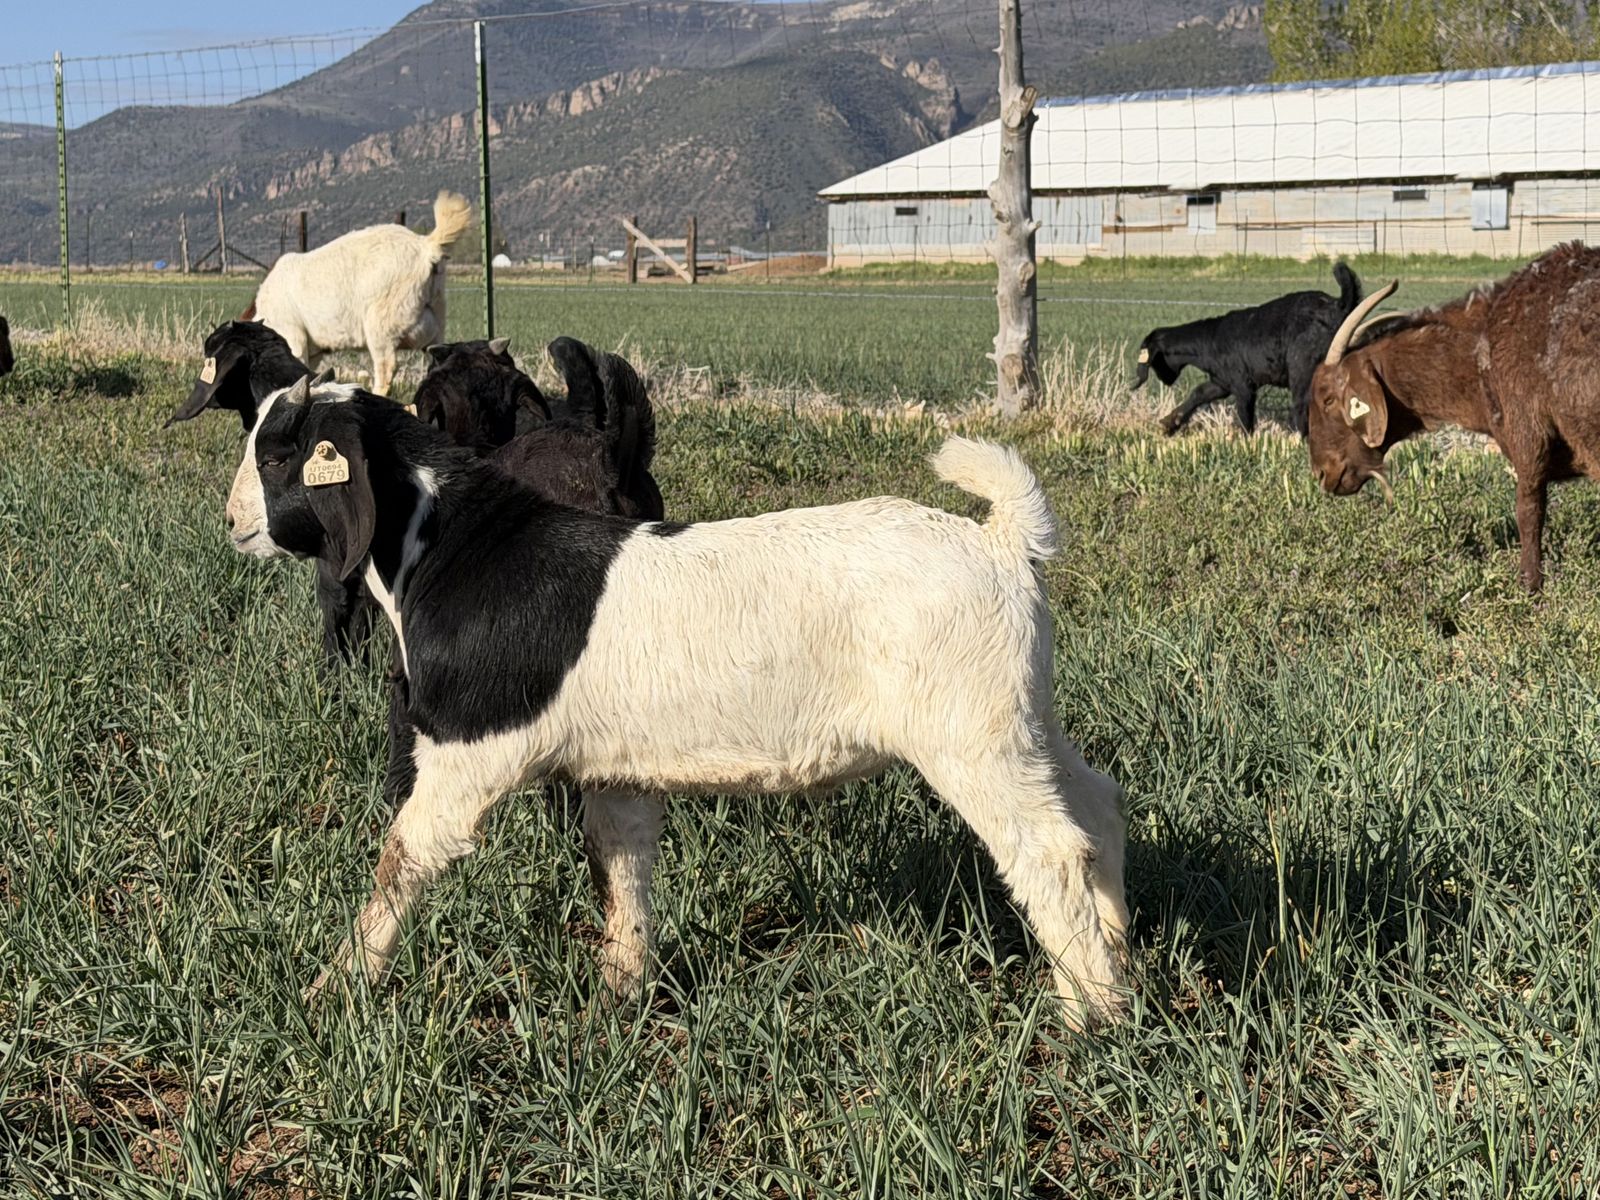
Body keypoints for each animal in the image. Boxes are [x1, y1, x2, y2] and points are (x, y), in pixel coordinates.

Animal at [223, 378, 1130, 1028]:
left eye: (279, 456)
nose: (232, 522)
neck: (453, 552)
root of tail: (1002, 541)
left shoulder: (464, 756)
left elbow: (403, 860)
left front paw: (333, 989)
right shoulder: (616, 767)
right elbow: (620, 865)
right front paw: (619, 997)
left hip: (971, 737)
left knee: (1049, 850)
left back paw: (1087, 1014)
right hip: (1023, 716)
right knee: (1098, 808)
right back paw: (1120, 962)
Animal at [1133, 262, 1364, 435]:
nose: (1165, 381)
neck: (1210, 339)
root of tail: (1337, 306)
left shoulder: (1243, 386)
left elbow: (1245, 421)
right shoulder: (1222, 382)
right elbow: (1199, 393)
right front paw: (1171, 422)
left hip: (1303, 372)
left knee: (1303, 407)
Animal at [1309, 241, 1600, 593]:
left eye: (1327, 399)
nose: (1322, 473)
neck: (1481, 341)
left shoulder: (1527, 435)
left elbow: (1529, 510)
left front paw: (1528, 586)